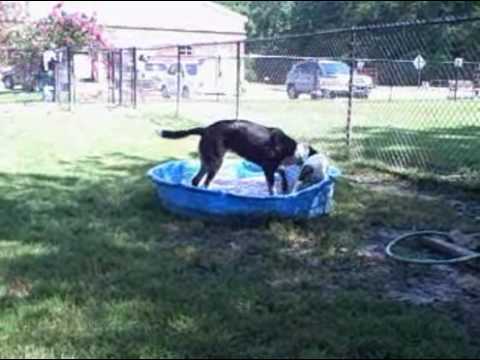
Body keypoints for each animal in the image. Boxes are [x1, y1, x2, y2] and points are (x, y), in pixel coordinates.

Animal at [158, 120, 316, 194]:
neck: (293, 150)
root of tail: (205, 129)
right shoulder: (268, 168)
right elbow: (272, 187)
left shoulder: (270, 167)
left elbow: (282, 172)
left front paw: (284, 186)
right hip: (216, 162)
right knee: (205, 182)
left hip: (207, 162)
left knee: (196, 180)